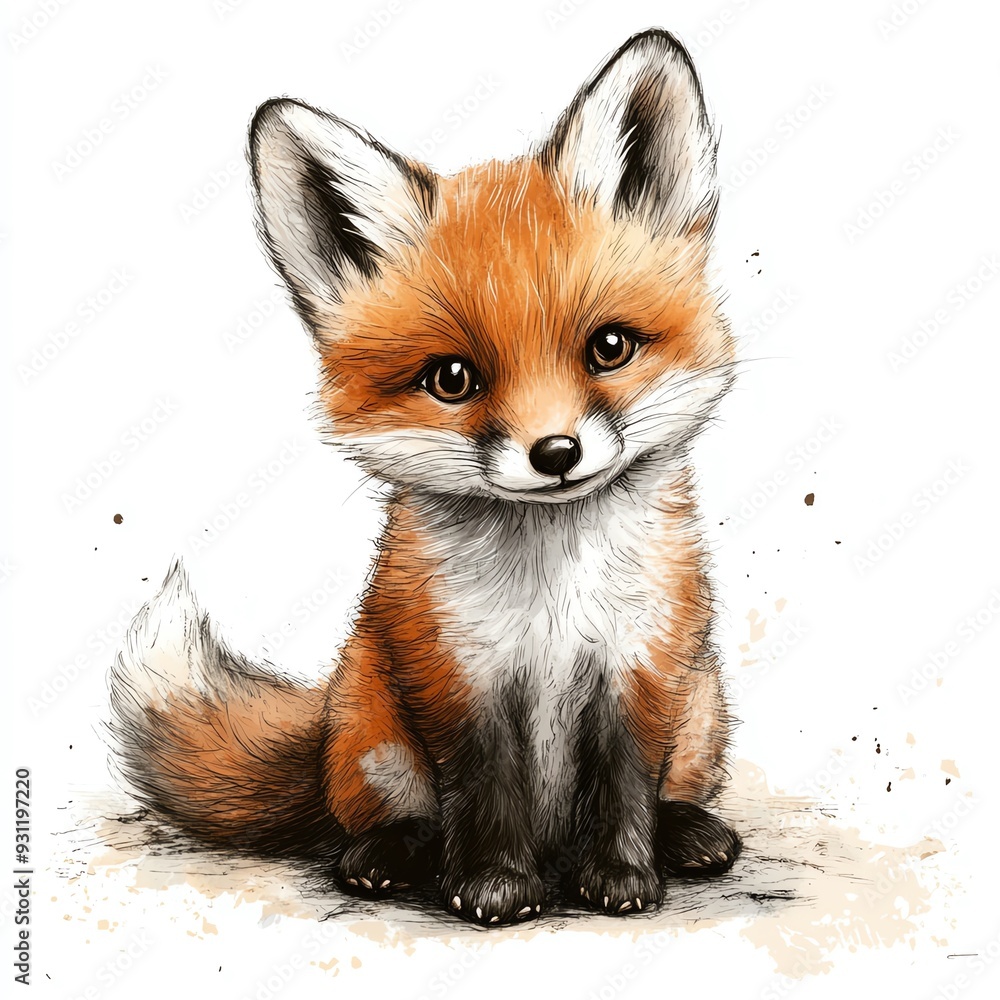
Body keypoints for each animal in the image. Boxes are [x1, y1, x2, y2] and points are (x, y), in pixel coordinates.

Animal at [109, 28, 742, 927]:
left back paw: (687, 831)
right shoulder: (455, 673)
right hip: (370, 725)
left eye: (609, 348)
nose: (555, 453)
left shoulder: (642, 666)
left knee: (673, 787)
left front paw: (621, 876)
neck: (553, 596)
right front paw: (495, 884)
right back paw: (384, 856)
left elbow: (624, 787)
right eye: (452, 379)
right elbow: (484, 790)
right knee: (388, 815)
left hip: (704, 705)